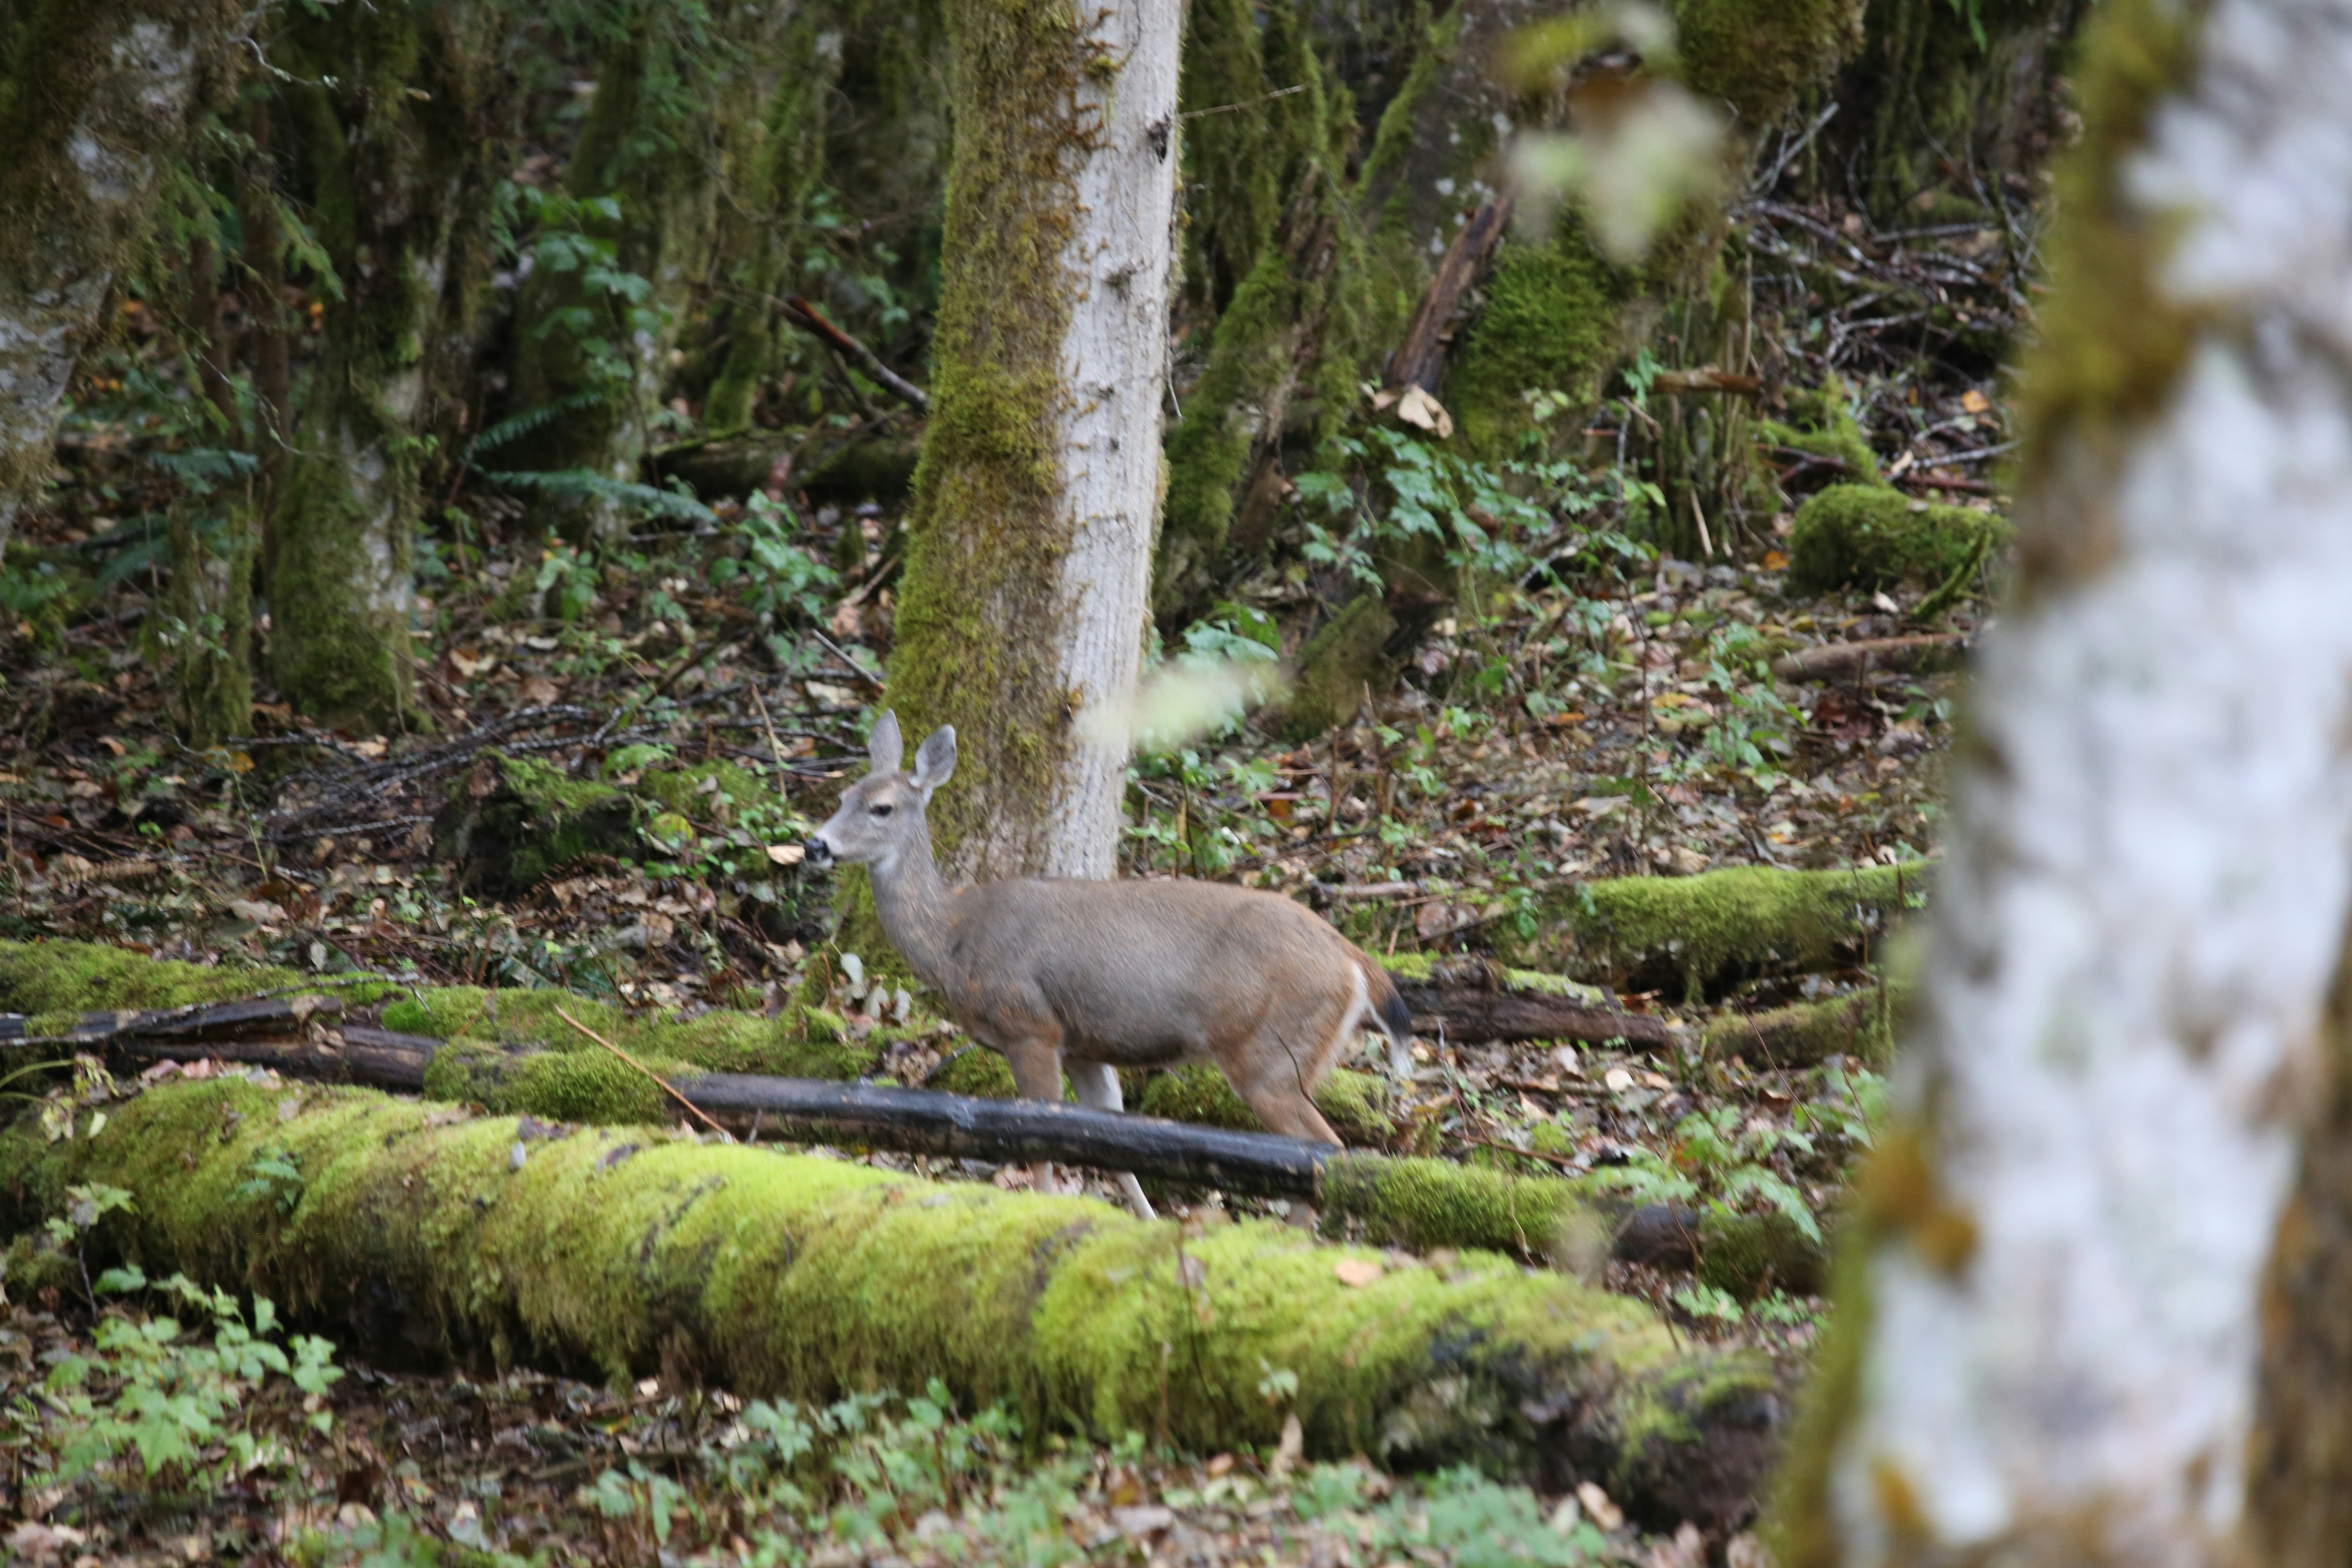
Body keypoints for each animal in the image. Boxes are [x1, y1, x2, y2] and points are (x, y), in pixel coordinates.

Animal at [804, 714, 1411, 1222]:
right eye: (843, 795)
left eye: (882, 807)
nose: (815, 845)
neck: (954, 938)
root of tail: (1355, 961)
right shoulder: (1083, 1046)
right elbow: (1113, 1148)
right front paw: (1147, 1224)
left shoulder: (1031, 1026)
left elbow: (1041, 1146)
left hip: (1271, 1053)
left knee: (1325, 1147)